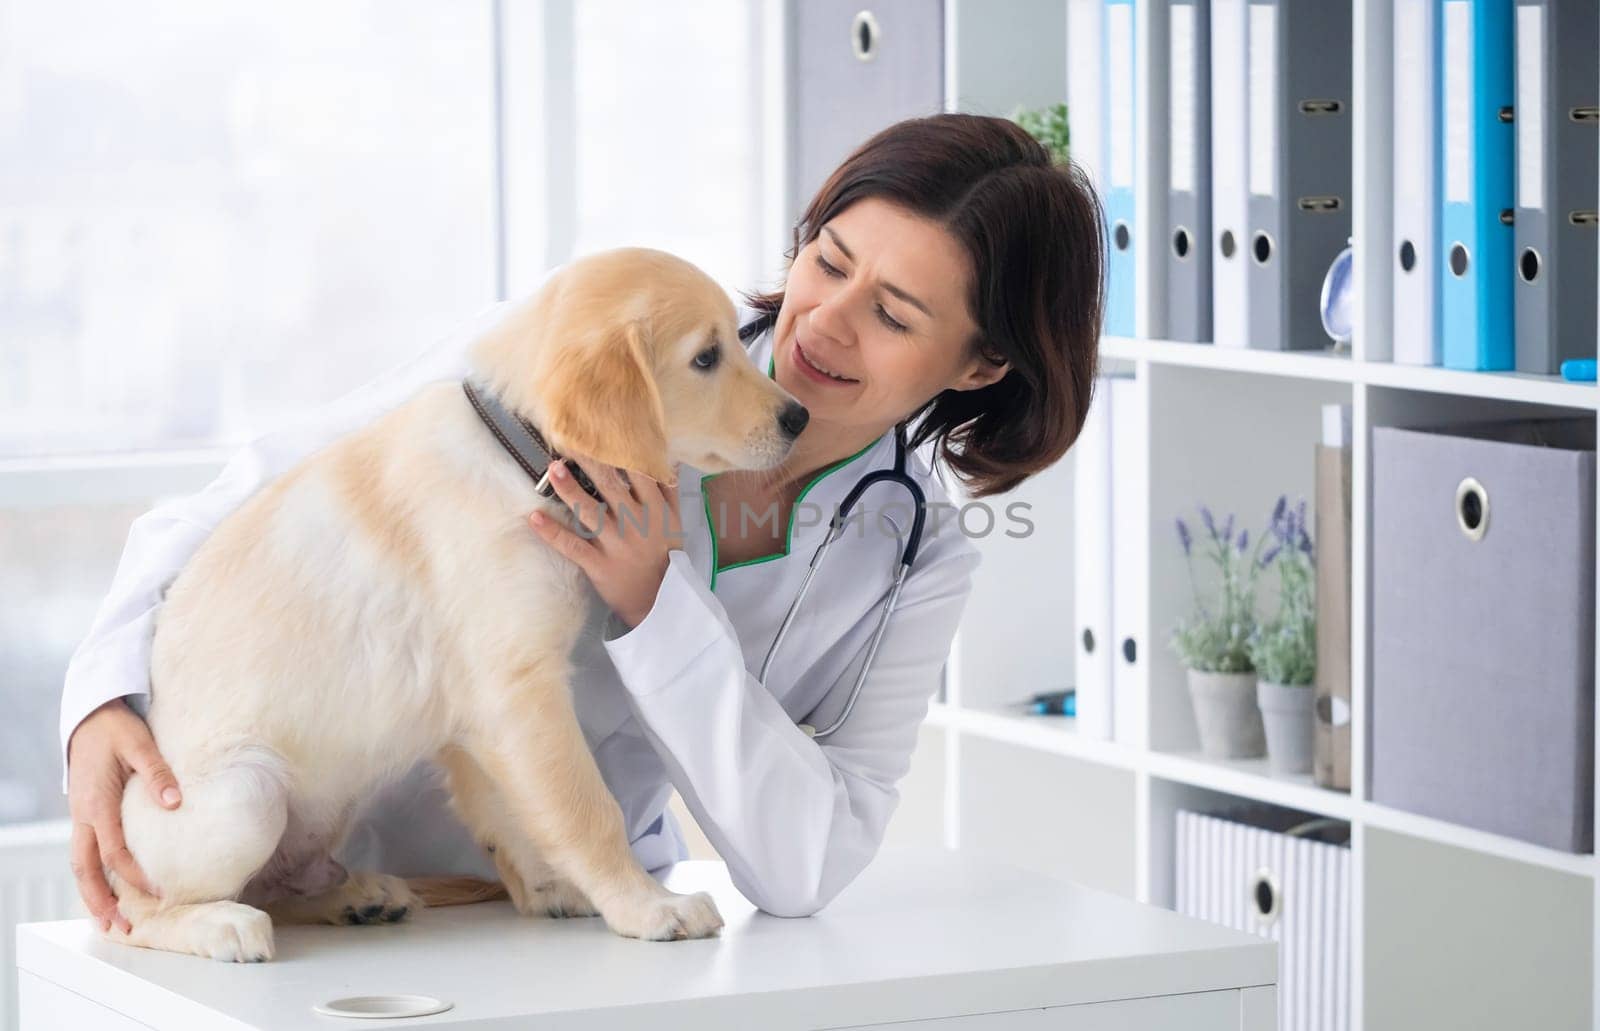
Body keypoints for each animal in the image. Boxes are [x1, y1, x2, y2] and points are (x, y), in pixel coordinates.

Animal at [100, 248, 806, 960]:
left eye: (735, 341)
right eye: (706, 358)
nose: (799, 418)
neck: (521, 459)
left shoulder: (483, 721)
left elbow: (513, 816)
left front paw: (552, 891)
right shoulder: (519, 693)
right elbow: (586, 811)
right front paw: (647, 906)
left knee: (277, 885)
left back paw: (358, 896)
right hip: (249, 795)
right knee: (139, 912)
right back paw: (221, 924)